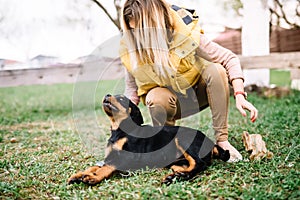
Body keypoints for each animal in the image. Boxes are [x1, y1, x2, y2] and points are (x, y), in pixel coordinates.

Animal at [67, 94, 229, 185]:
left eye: (122, 99)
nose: (107, 95)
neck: (120, 131)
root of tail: (211, 143)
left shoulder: (128, 157)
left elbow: (108, 167)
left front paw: (92, 178)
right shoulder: (110, 156)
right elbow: (95, 166)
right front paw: (79, 175)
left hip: (184, 139)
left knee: (200, 163)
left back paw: (181, 176)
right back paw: (175, 174)